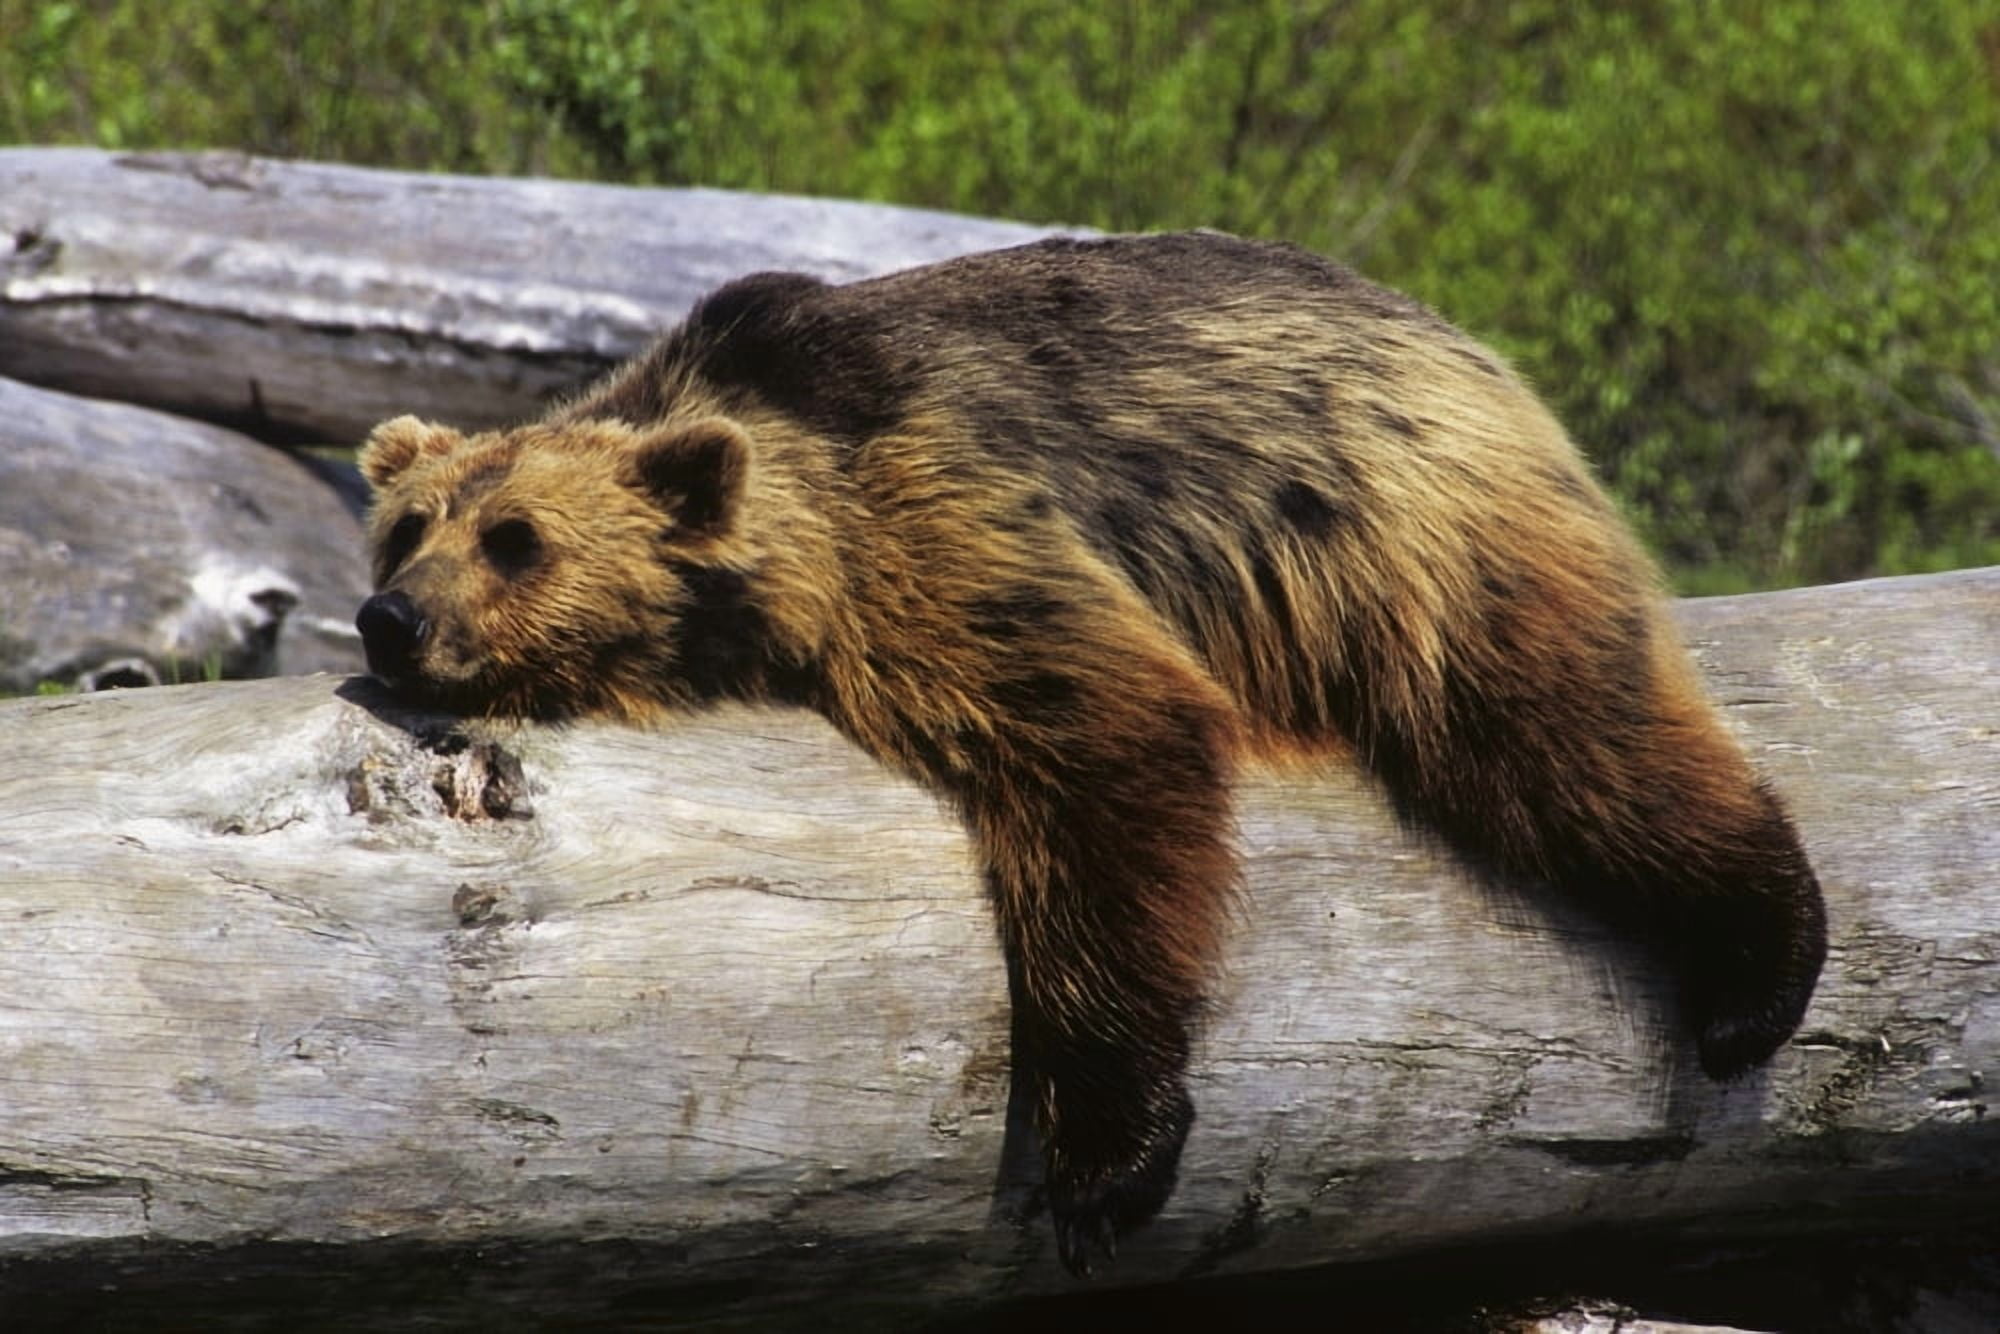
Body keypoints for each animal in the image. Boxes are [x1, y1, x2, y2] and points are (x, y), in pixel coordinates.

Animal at [354, 231, 1827, 1275]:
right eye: (407, 526)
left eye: (517, 539)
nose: (392, 616)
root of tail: (1448, 330)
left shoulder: (939, 521)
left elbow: (1107, 740)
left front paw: (1108, 1158)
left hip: (1403, 526)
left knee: (1556, 727)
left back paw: (1754, 969)